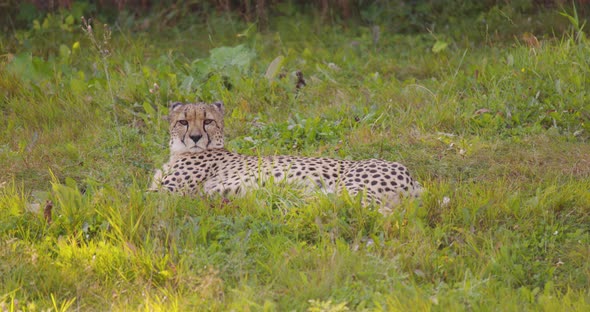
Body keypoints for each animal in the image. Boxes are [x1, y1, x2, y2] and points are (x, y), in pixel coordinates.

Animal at [150, 101, 424, 213]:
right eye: (183, 122)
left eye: (207, 121)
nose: (196, 137)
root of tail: (411, 176)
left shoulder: (166, 193)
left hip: (352, 190)